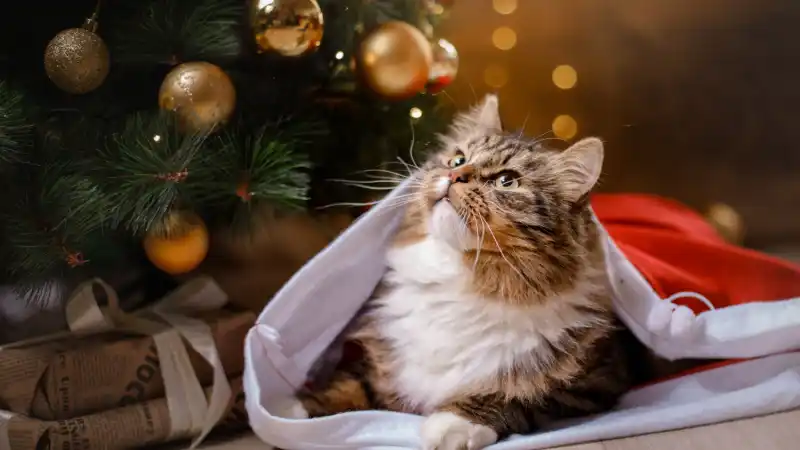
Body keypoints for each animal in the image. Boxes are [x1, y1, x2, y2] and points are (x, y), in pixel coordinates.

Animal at [276, 94, 668, 446]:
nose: (454, 174)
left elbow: (516, 396)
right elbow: (347, 385)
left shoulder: (593, 383)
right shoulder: (382, 366)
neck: (459, 279)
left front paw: (454, 424)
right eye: (459, 158)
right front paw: (287, 410)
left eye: (507, 181)